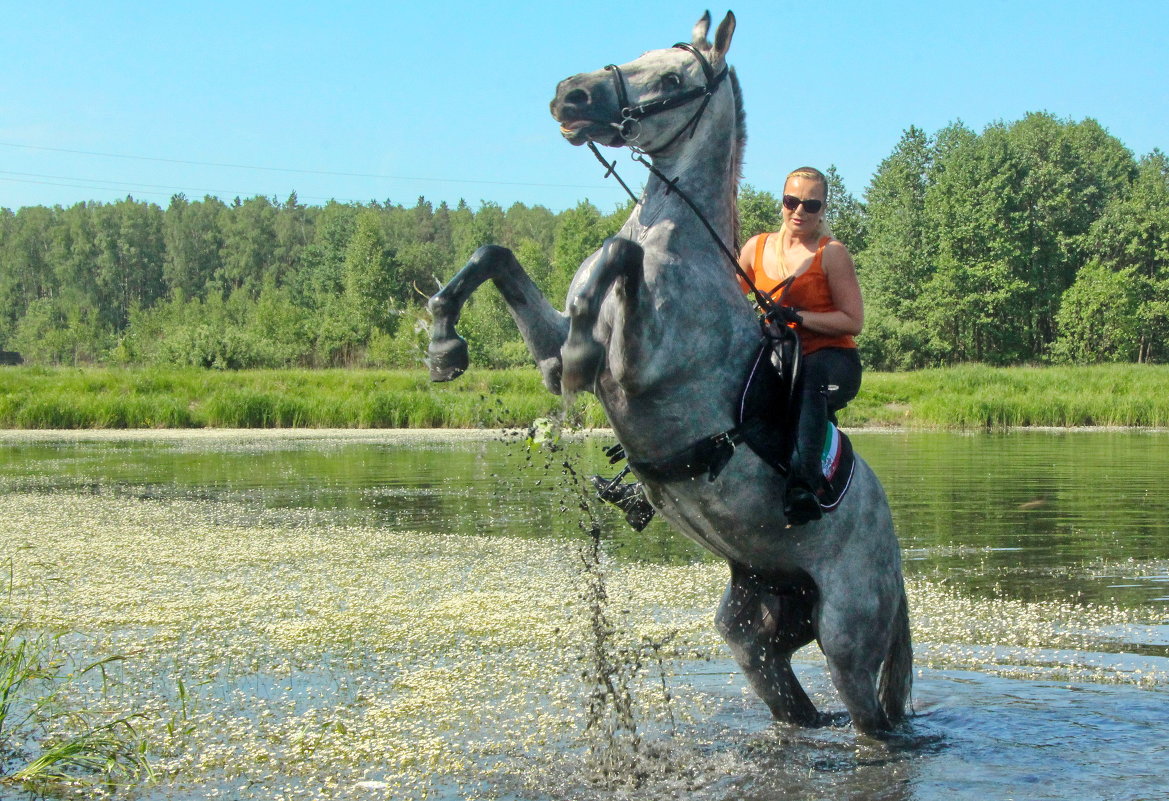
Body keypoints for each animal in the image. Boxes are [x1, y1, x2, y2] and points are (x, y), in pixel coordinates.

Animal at [430, 7, 911, 739]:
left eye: (675, 78)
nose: (569, 95)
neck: (673, 237)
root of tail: (895, 563)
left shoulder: (643, 365)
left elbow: (618, 255)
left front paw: (580, 349)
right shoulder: (549, 347)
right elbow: (496, 255)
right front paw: (444, 342)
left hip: (848, 640)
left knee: (871, 721)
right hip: (759, 627)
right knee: (792, 701)